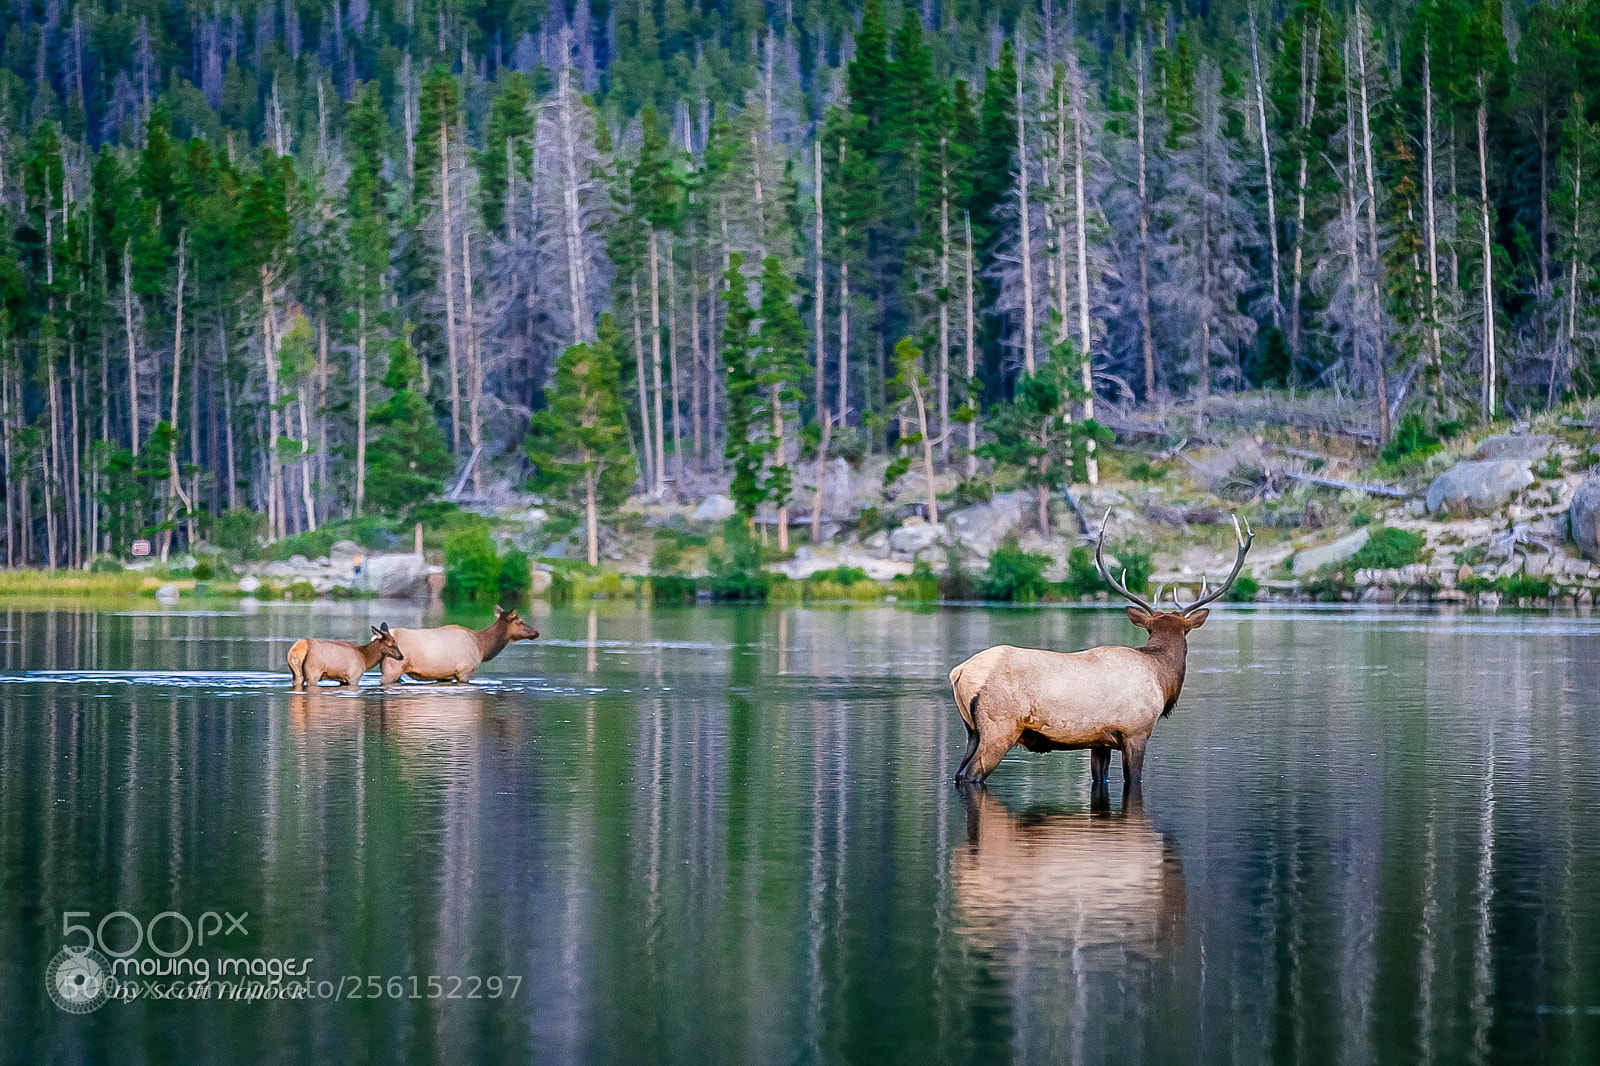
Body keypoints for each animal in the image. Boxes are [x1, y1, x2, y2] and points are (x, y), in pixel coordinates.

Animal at [379, 606, 540, 684]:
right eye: (521, 622)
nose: (536, 632)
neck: (482, 647)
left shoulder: (445, 675)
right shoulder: (464, 670)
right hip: (392, 669)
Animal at [949, 511, 1253, 791]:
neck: (1161, 677)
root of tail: (960, 672)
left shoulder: (1100, 741)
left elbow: (1100, 779)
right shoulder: (1135, 731)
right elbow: (1133, 781)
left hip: (972, 731)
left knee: (958, 773)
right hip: (1000, 726)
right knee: (971, 774)